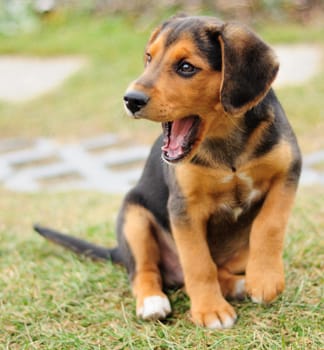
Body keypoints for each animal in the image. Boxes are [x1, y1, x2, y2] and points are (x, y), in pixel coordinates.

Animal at [35, 15, 302, 330]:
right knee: (146, 271)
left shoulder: (288, 172)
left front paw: (264, 279)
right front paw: (210, 310)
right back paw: (153, 302)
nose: (130, 99)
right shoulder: (184, 206)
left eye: (186, 67)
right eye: (149, 58)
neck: (226, 146)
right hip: (134, 218)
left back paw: (240, 284)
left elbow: (269, 224)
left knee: (212, 271)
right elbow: (198, 263)